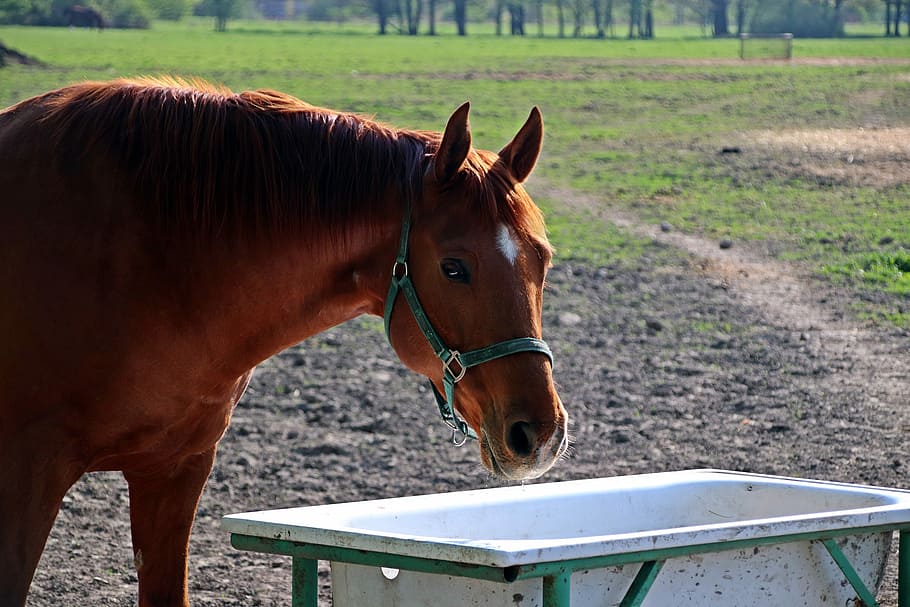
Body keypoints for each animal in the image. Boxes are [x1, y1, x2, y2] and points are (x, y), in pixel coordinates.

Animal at [0, 77, 568, 607]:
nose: (539, 434)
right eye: (454, 268)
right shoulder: (27, 474)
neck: (150, 261)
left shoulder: (174, 469)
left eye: (542, 258)